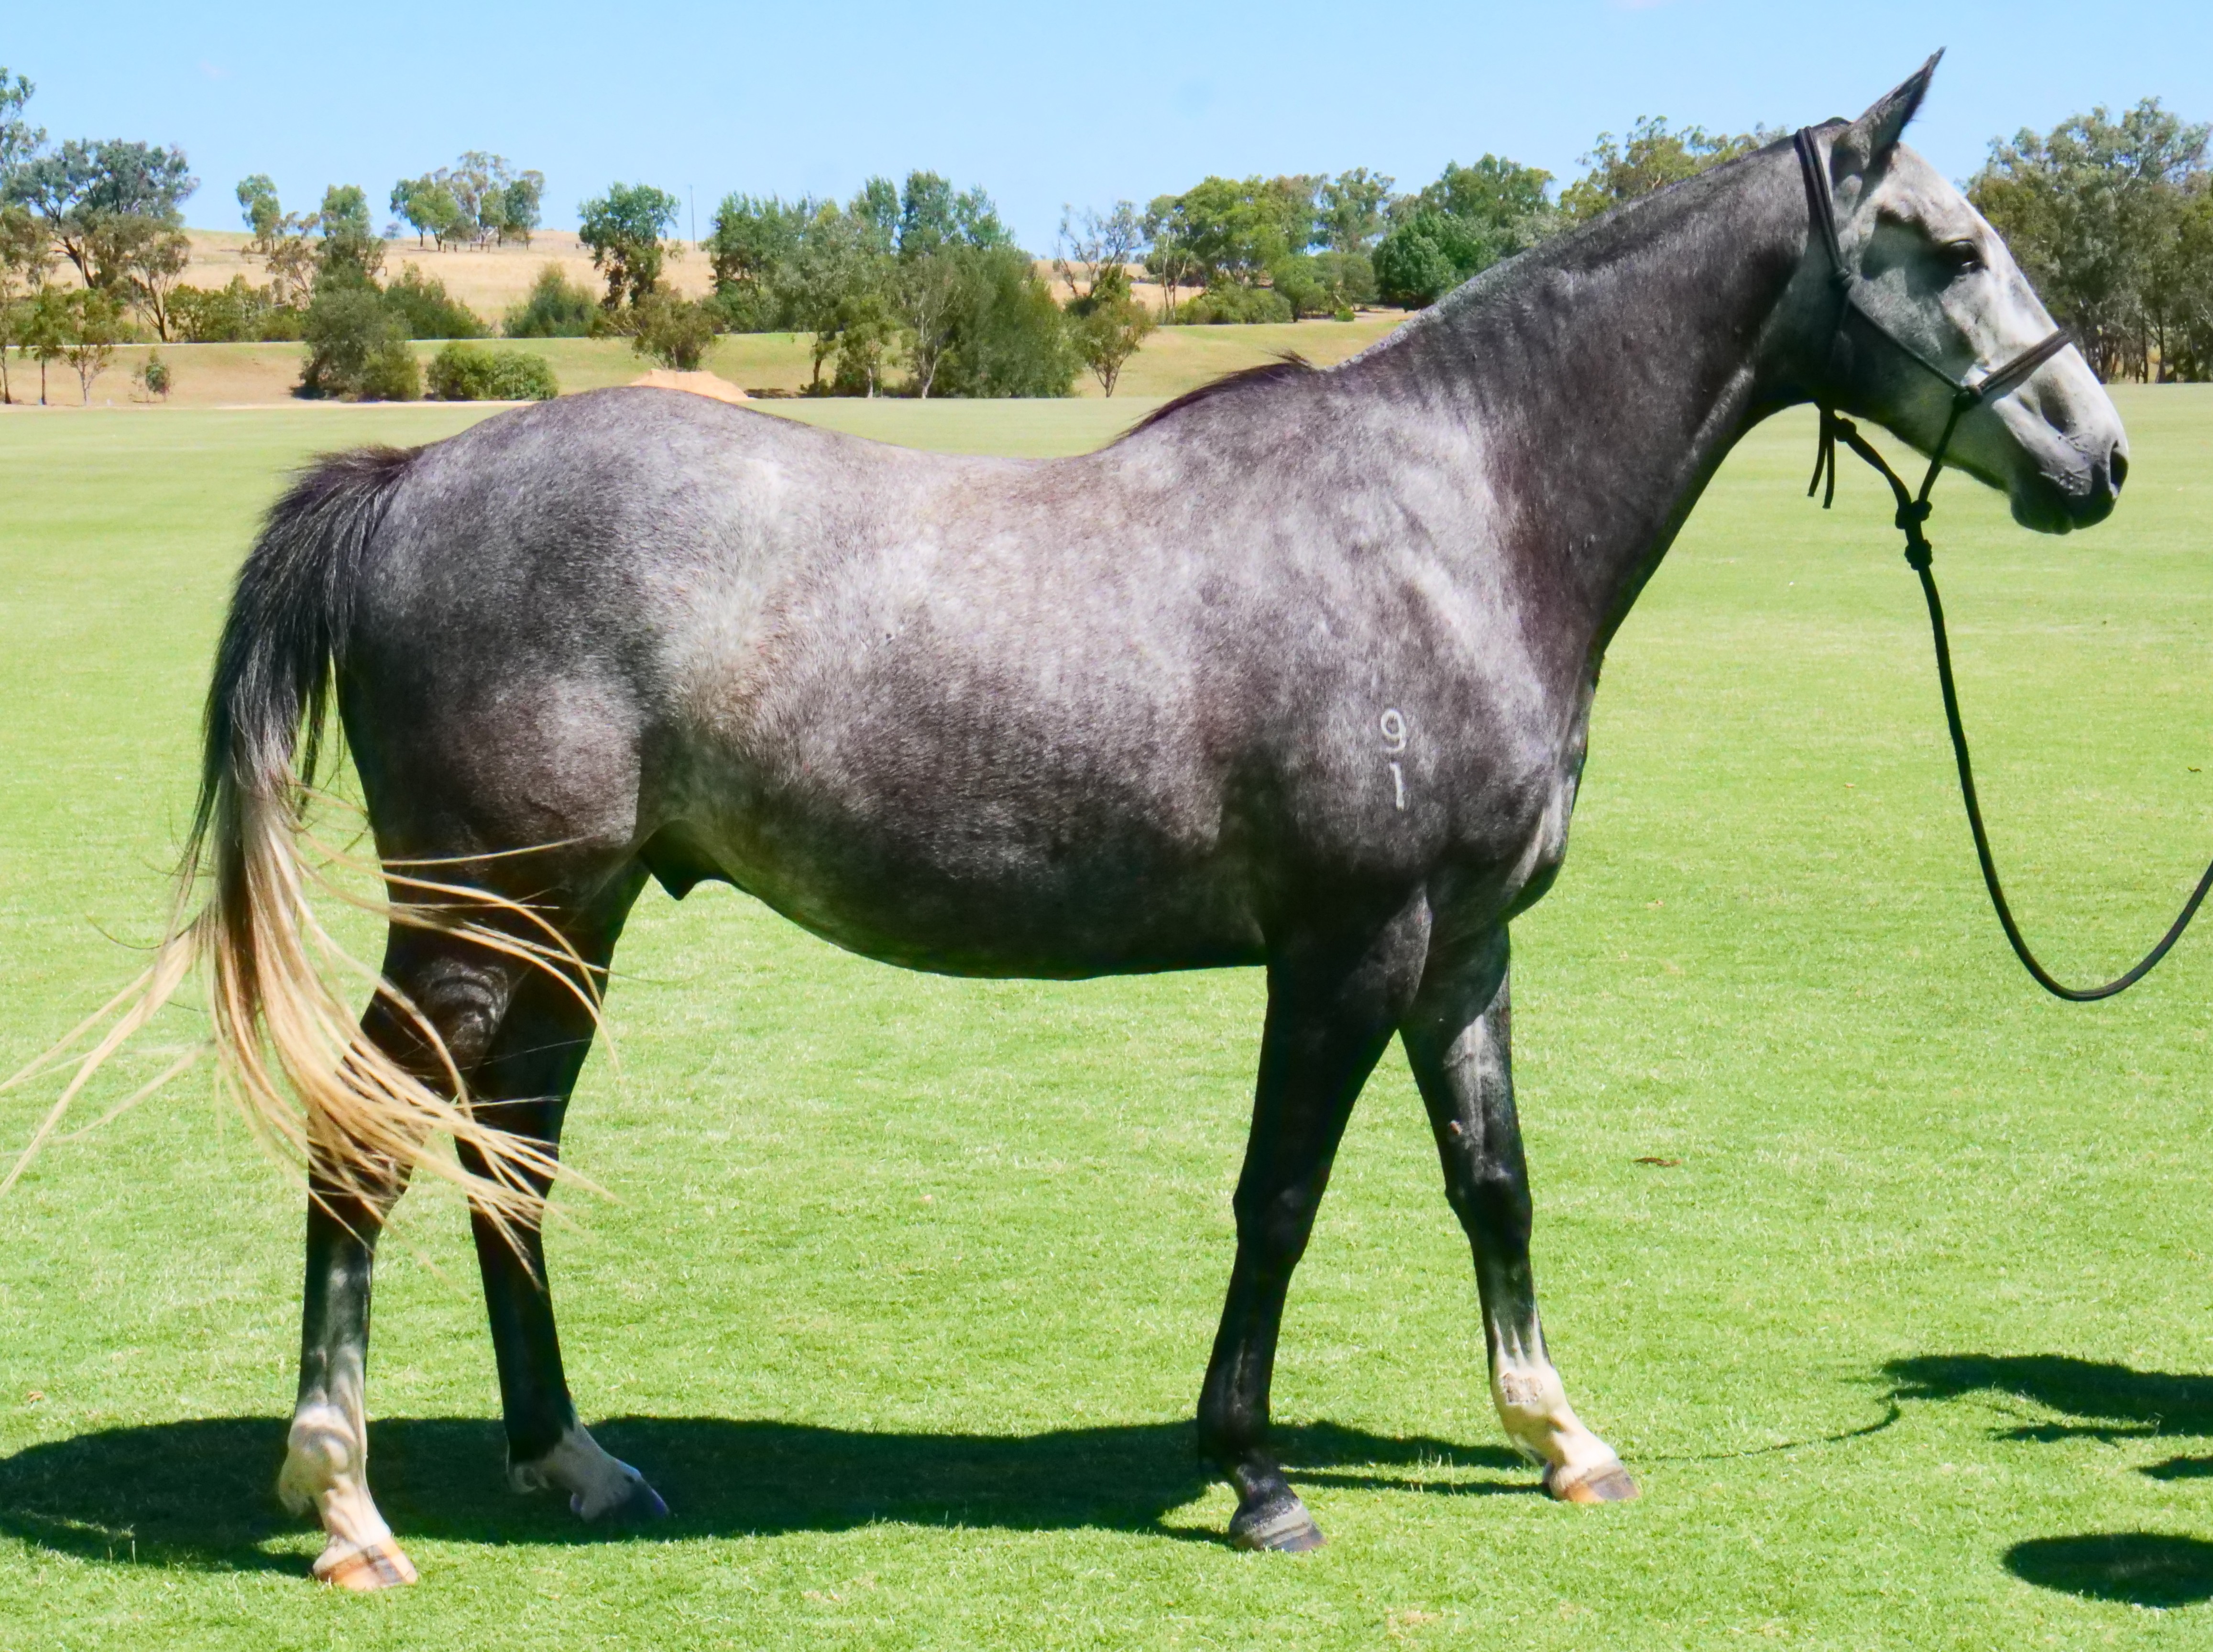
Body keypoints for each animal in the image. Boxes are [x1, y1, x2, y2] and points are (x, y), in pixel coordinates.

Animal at [87, 58, 2125, 1587]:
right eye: (1947, 244)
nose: (2096, 458)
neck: (1449, 514)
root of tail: (408, 477)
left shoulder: (1462, 945)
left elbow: (1493, 1180)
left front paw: (1556, 1433)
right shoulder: (1347, 945)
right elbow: (1278, 1199)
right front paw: (1255, 1476)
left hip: (565, 928)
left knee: (504, 1155)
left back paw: (567, 1462)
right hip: (479, 919)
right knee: (366, 1147)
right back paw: (347, 1504)